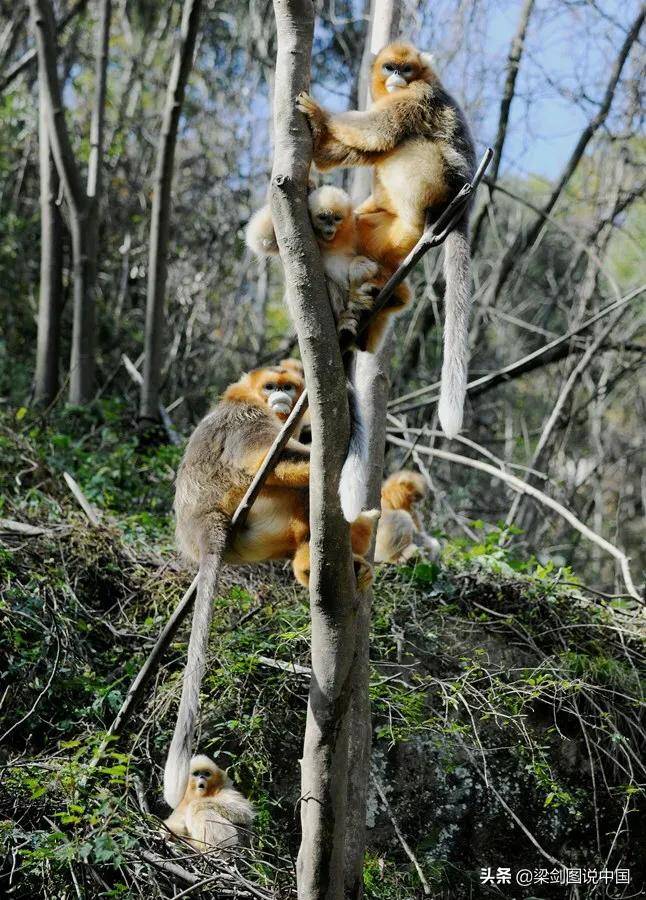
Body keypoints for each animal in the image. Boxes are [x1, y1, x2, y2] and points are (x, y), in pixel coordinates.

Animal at [167, 366, 380, 808]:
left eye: (287, 386)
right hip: (244, 506)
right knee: (287, 476)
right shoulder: (245, 417)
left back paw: (317, 564)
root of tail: (203, 529)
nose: (280, 398)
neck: (247, 396)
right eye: (269, 386)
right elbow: (264, 457)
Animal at [298, 43, 476, 440]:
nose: (396, 78)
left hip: (435, 175)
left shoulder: (419, 94)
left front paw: (319, 114)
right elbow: (364, 148)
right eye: (389, 67)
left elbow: (380, 131)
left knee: (405, 141)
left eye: (406, 69)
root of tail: (462, 205)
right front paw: (317, 147)